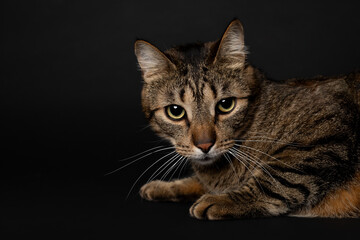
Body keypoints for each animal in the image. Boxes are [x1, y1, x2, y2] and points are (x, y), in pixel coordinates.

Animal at [133, 18, 360, 219]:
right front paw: (164, 186)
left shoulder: (327, 131)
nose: (205, 145)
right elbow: (195, 182)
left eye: (226, 105)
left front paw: (223, 200)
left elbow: (275, 179)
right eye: (175, 111)